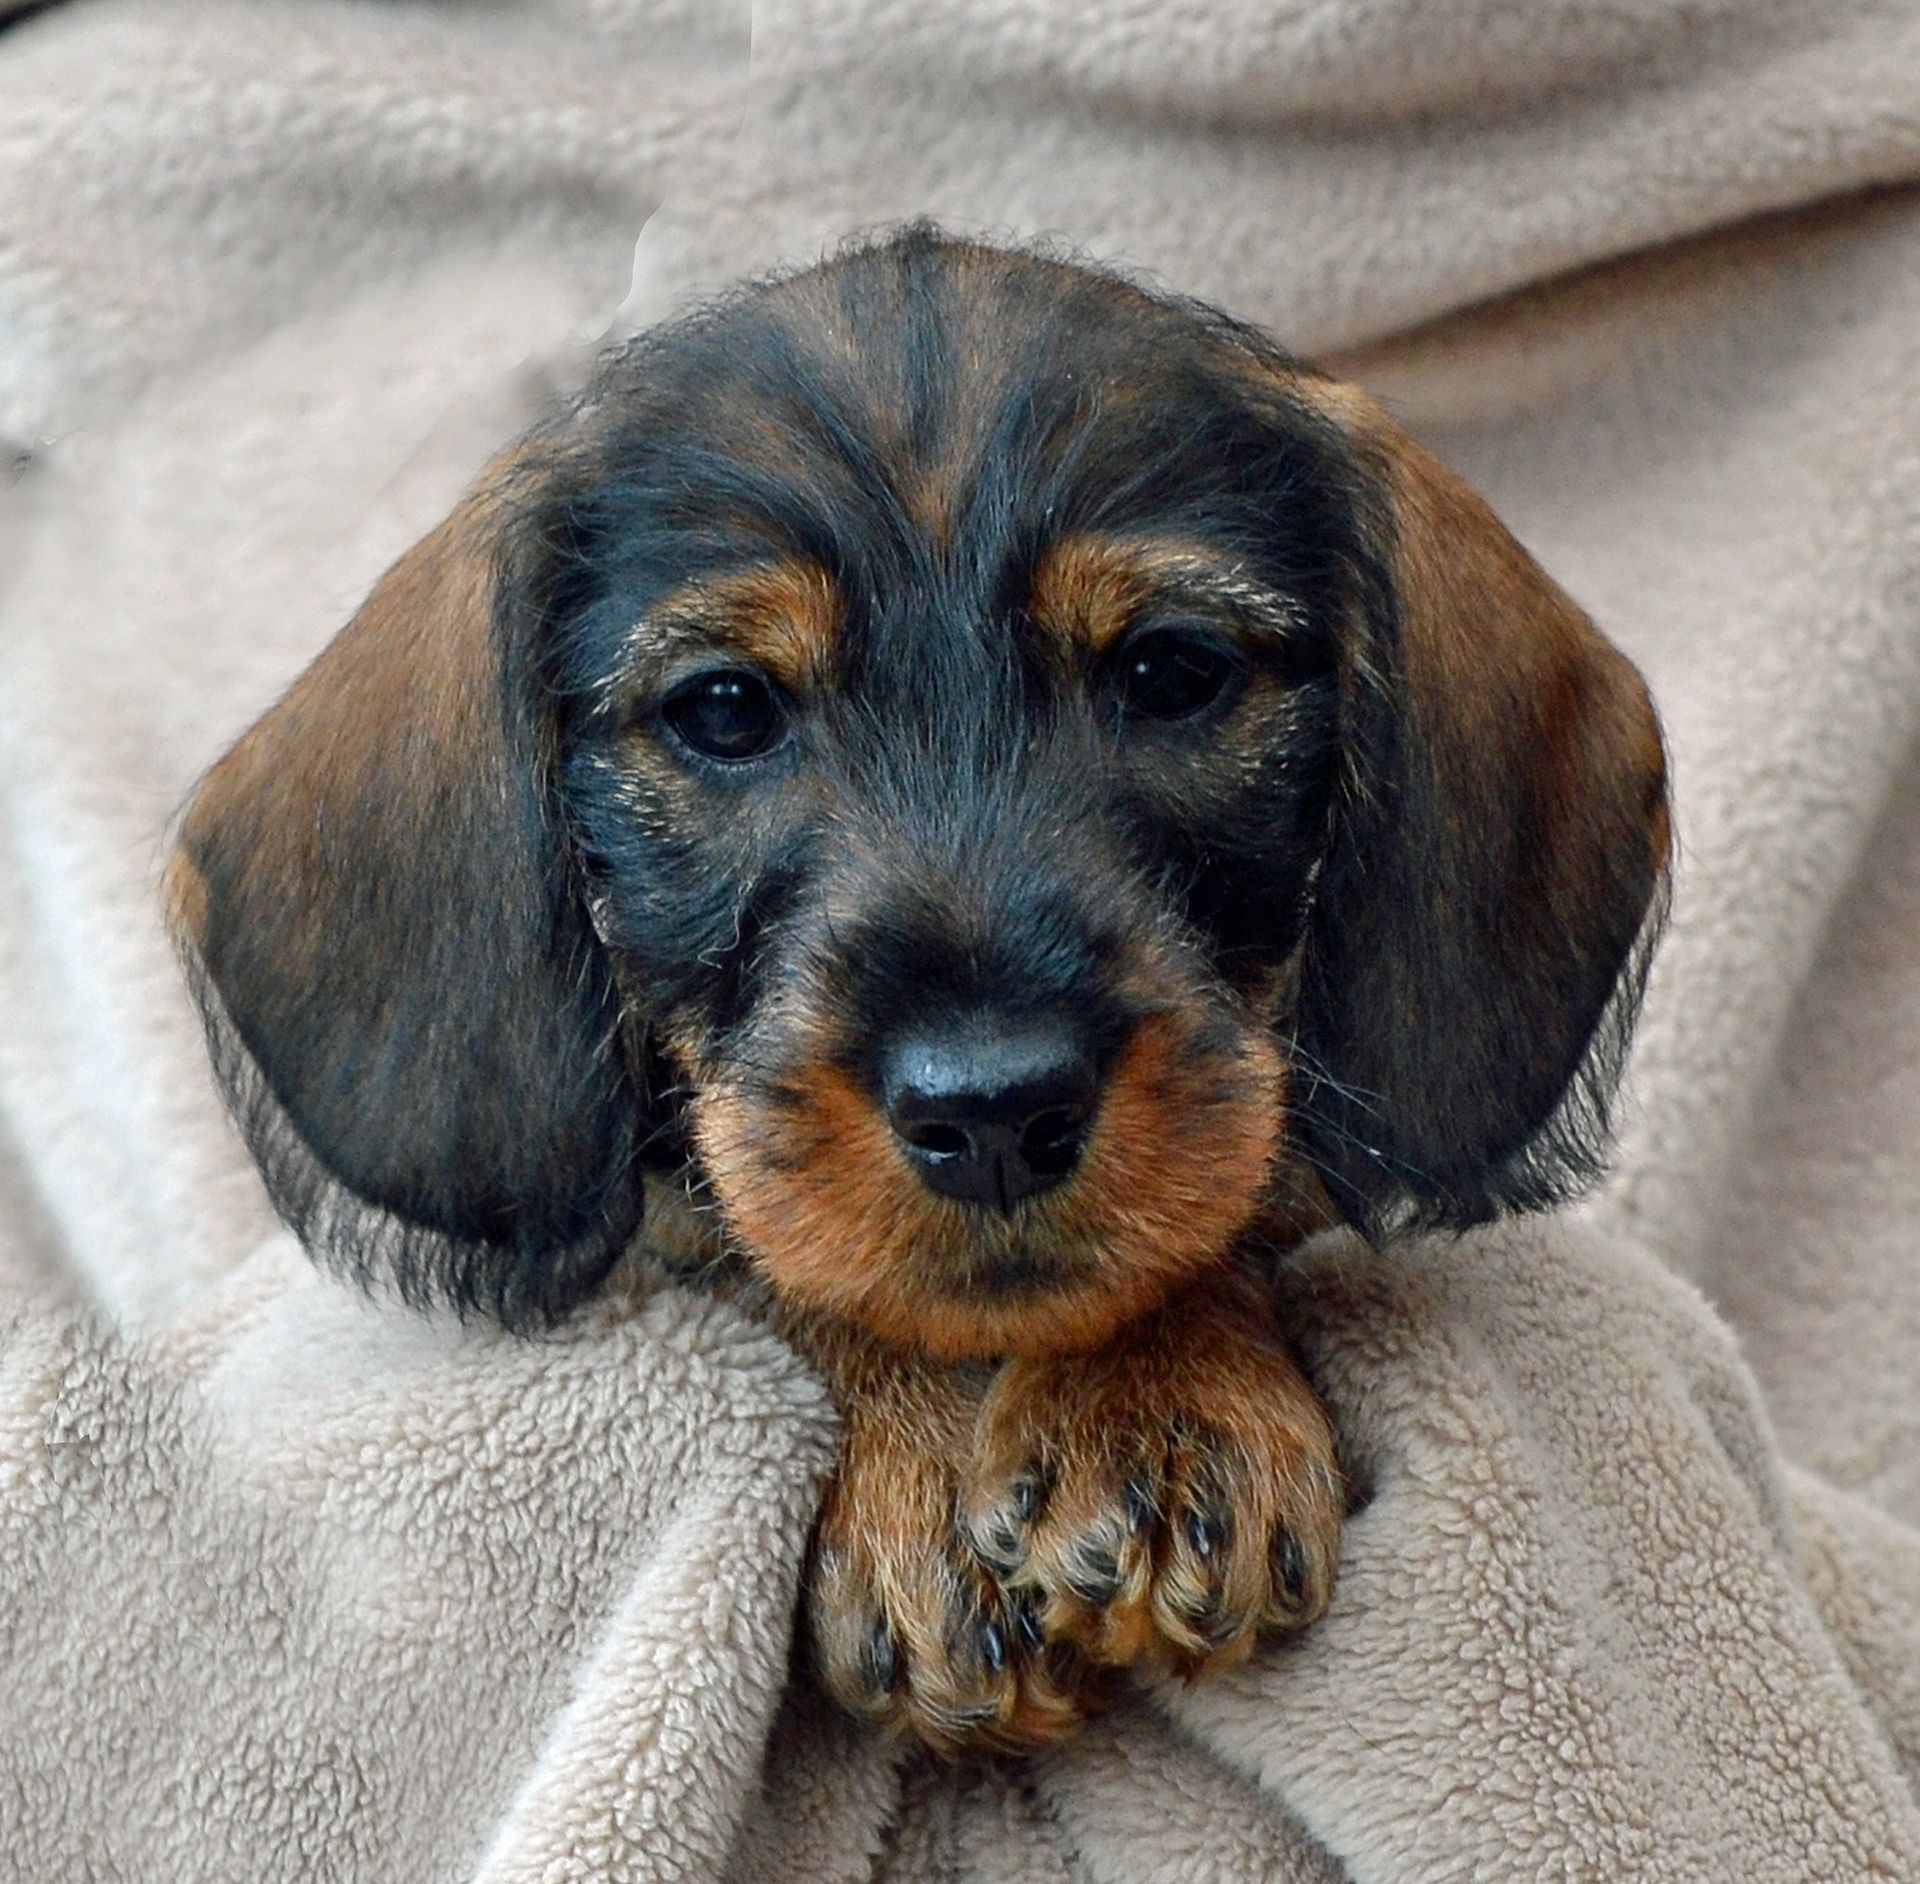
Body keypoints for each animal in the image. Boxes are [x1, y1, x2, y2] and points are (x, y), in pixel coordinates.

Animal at [167, 225, 1669, 1754]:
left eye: (1170, 669)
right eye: (724, 709)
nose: (993, 1111)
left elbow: (1195, 1211)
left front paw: (1164, 1393)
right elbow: (775, 1248)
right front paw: (920, 1468)